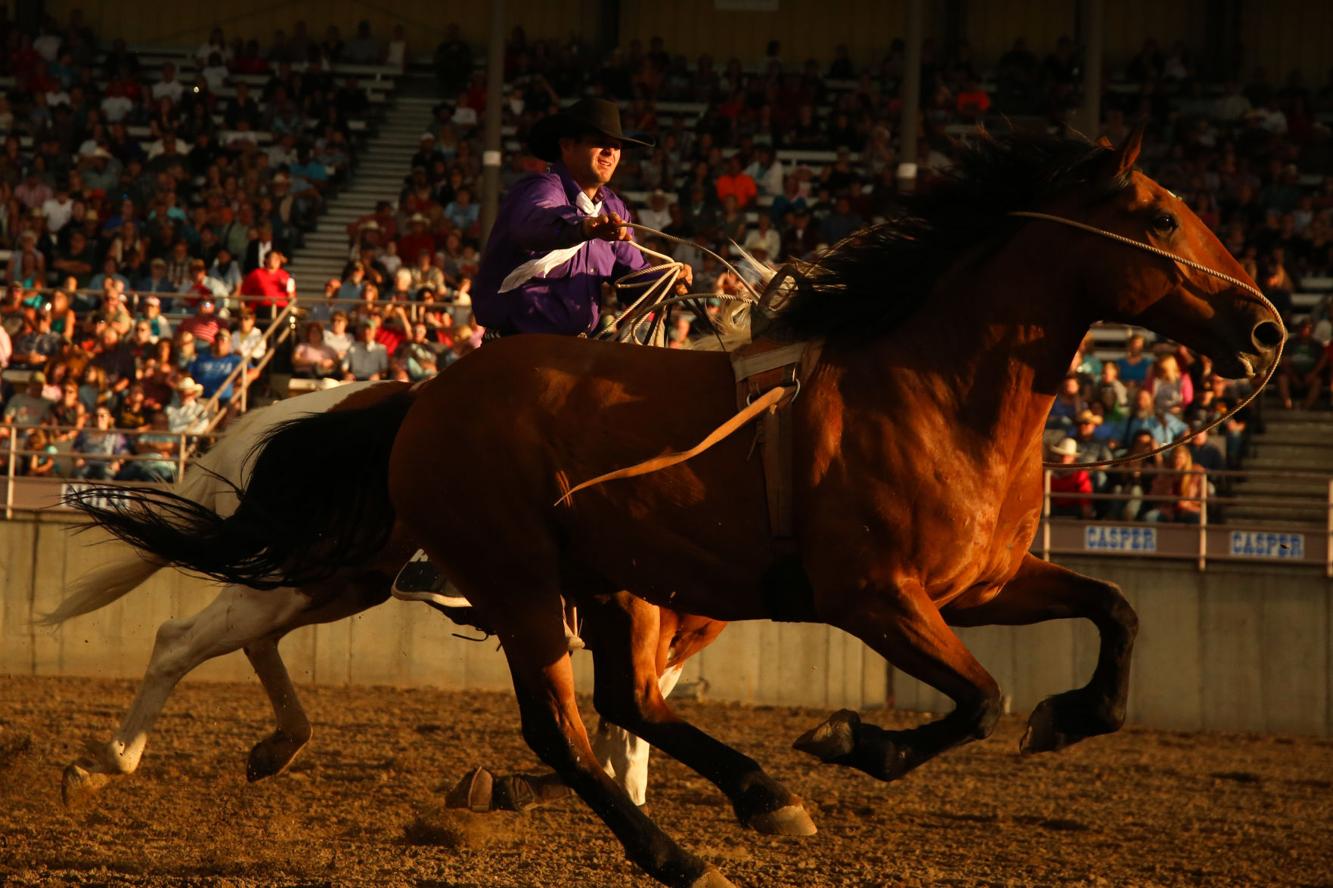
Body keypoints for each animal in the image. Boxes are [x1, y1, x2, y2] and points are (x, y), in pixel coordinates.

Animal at [46, 381, 725, 810]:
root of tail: (268, 420)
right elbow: (620, 741)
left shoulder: (671, 642)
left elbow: (617, 737)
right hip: (298, 579)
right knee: (177, 642)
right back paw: (103, 766)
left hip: (331, 585)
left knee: (255, 642)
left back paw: (278, 747)